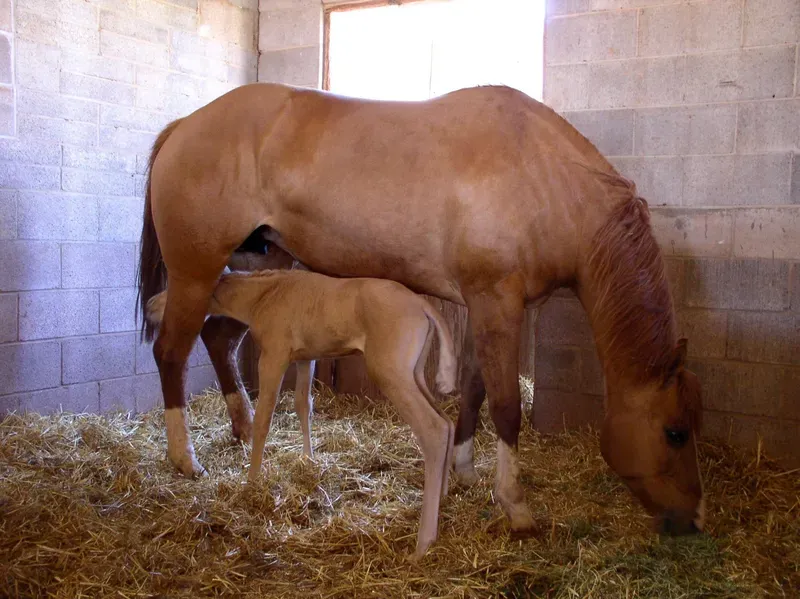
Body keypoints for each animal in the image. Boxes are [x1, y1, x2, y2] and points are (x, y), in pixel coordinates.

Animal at [146, 268, 457, 557]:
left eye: (177, 291)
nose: (149, 307)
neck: (264, 296)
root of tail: (423, 305)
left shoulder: (273, 357)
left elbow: (264, 418)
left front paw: (251, 482)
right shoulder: (306, 357)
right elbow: (303, 405)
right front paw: (308, 460)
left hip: (391, 373)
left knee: (433, 428)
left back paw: (423, 543)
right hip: (414, 374)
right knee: (447, 421)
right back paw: (443, 496)